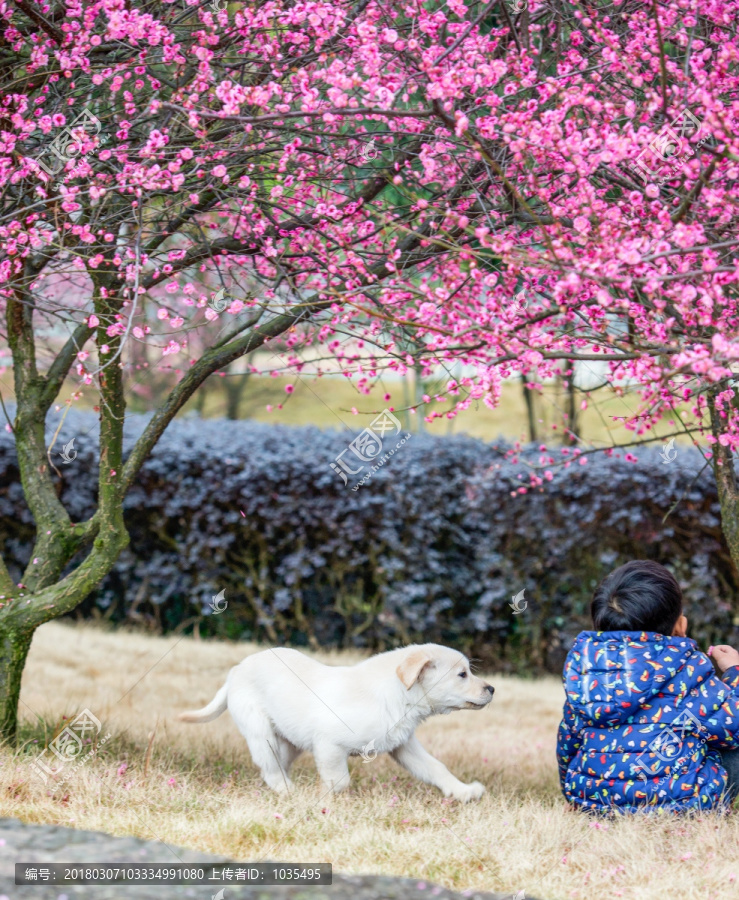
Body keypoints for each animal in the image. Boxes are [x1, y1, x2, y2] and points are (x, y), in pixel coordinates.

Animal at [178, 640, 498, 800]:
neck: (397, 695)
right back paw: (291, 793)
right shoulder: (329, 745)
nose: (492, 689)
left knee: (276, 767)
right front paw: (323, 799)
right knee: (270, 770)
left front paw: (464, 792)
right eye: (462, 674)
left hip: (289, 742)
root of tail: (236, 670)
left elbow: (437, 768)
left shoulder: (404, 746)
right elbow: (340, 781)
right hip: (261, 734)